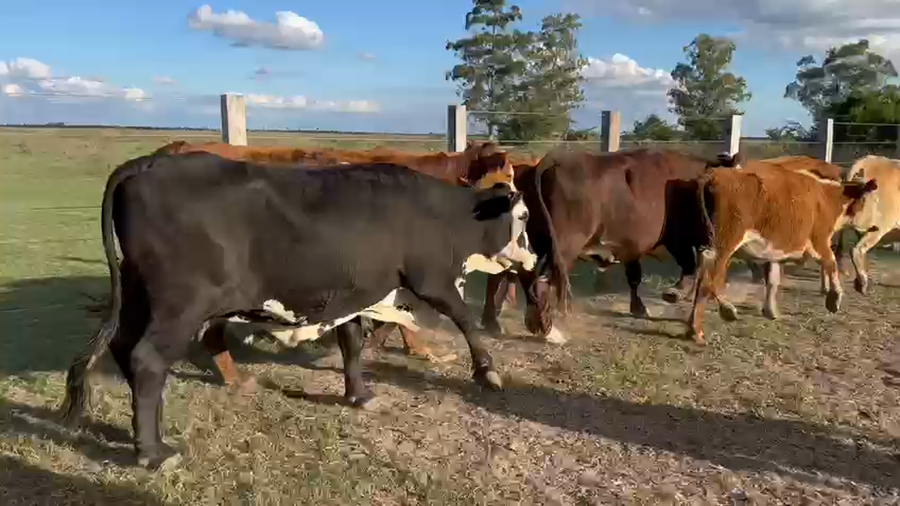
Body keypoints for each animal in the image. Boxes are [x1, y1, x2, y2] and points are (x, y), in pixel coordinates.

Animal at [59, 151, 536, 470]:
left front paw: (359, 394)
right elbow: (466, 320)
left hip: (139, 295)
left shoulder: (351, 294)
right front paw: (487, 371)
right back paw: (153, 453)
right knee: (147, 359)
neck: (440, 214)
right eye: (525, 218)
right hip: (182, 305)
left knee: (125, 349)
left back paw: (145, 432)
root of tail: (148, 163)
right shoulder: (431, 280)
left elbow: (352, 343)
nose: (533, 259)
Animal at [480, 147, 739, 344]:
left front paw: (640, 307)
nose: (713, 234)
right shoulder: (679, 239)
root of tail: (551, 161)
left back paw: (493, 322)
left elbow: (635, 276)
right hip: (564, 245)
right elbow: (692, 269)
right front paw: (679, 296)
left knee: (502, 274)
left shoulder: (633, 246)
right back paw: (546, 329)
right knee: (535, 278)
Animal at [685, 155, 878, 344]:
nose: (874, 226)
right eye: (867, 201)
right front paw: (834, 298)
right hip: (724, 245)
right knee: (709, 280)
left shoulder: (775, 252)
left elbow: (773, 279)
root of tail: (714, 175)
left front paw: (771, 311)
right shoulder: (819, 241)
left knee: (703, 273)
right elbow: (831, 263)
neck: (826, 198)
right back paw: (703, 326)